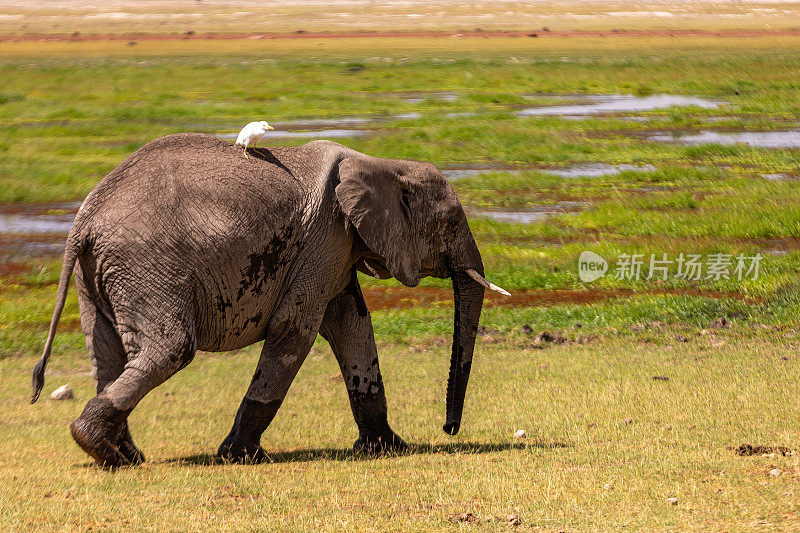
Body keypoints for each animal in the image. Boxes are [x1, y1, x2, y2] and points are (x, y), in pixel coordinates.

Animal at [32, 133, 506, 466]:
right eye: (451, 222)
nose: (448, 428)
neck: (380, 164)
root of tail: (86, 217)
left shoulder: (335, 248)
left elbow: (352, 326)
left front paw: (389, 448)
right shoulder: (326, 237)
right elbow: (296, 330)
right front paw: (239, 457)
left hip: (99, 273)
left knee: (106, 355)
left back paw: (123, 455)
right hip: (146, 263)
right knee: (169, 349)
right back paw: (101, 448)